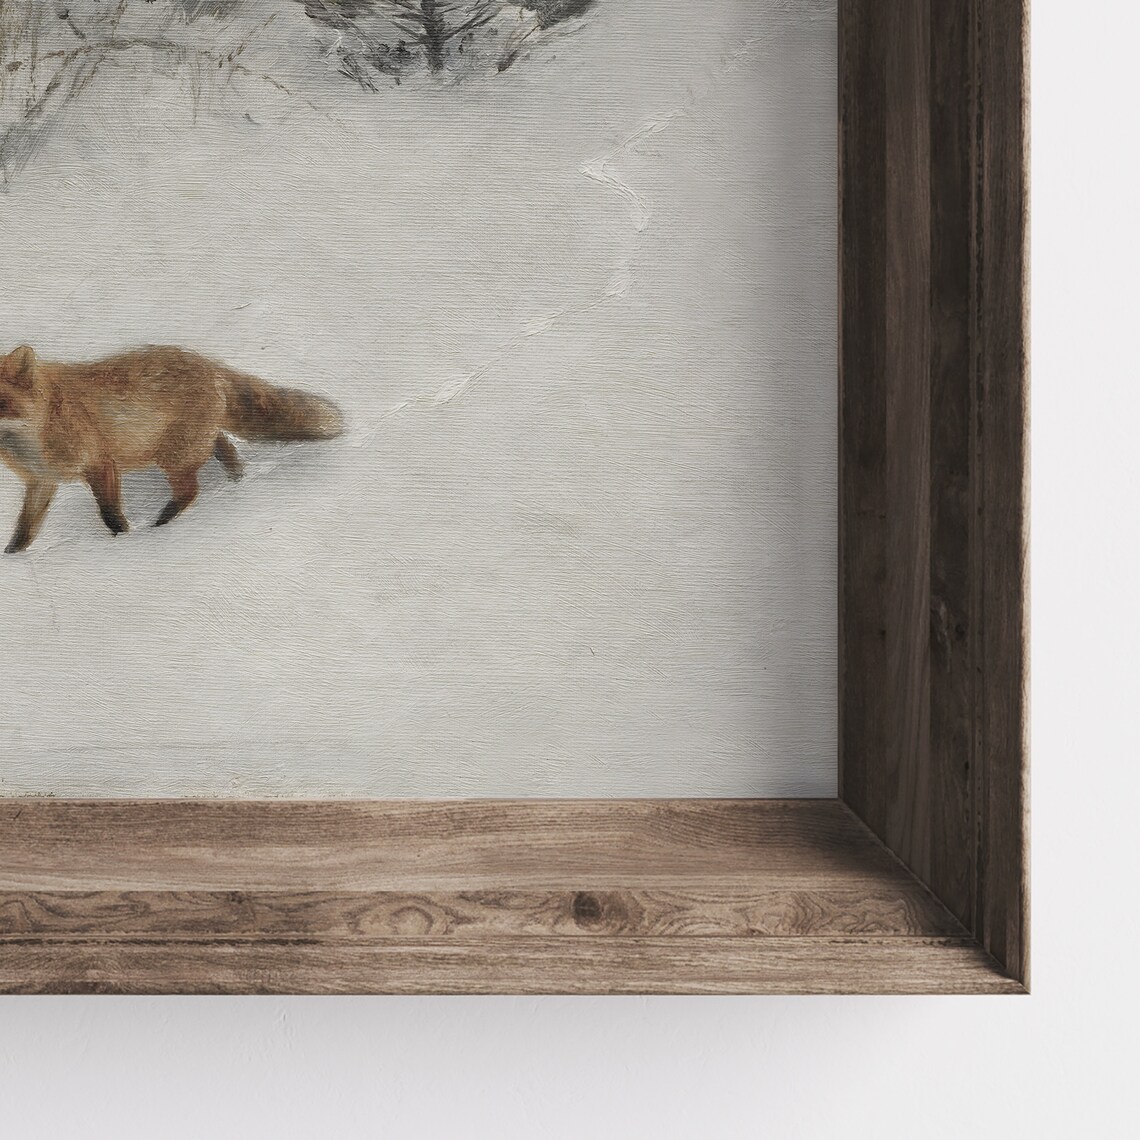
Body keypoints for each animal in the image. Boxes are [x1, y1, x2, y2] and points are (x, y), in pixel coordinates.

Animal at [0, 344, 344, 553]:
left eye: (1, 401)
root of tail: (208, 363)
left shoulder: (101, 463)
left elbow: (111, 514)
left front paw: (125, 541)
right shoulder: (42, 481)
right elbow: (24, 530)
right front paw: (12, 558)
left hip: (174, 456)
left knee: (190, 490)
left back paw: (161, 525)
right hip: (192, 445)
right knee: (224, 447)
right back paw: (237, 482)